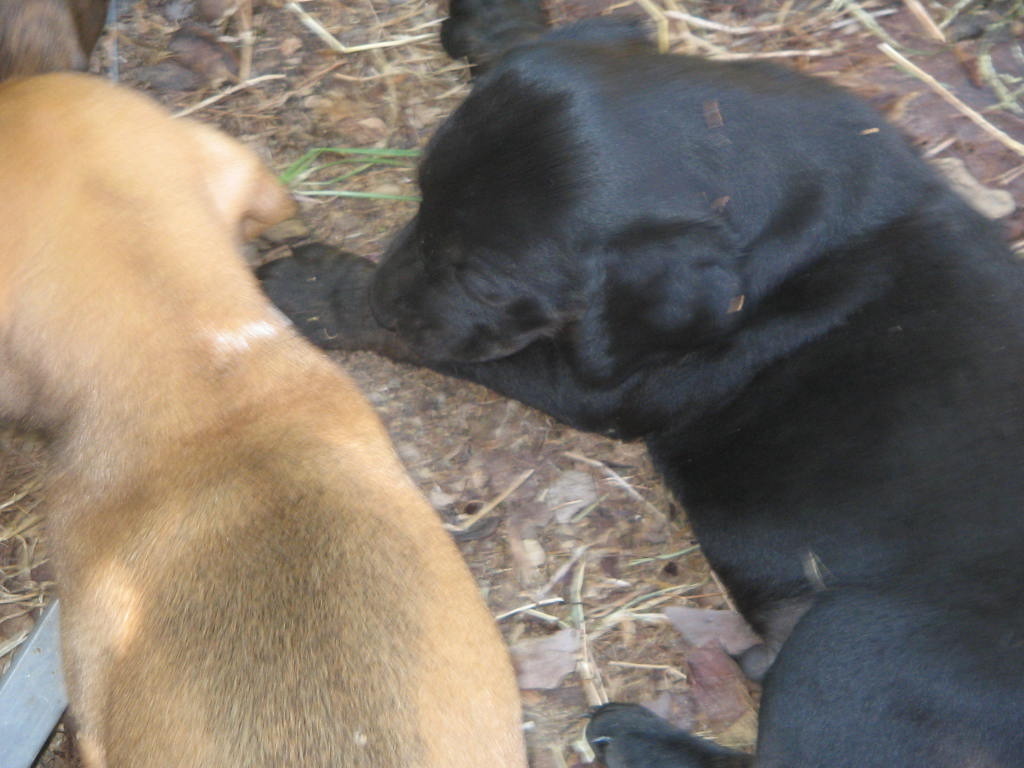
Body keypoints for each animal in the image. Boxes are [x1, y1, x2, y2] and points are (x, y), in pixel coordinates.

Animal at [257, 5, 1024, 767]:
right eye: (420, 196)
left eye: (486, 281)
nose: (387, 297)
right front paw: (497, 22)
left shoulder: (597, 387)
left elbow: (433, 342)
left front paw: (323, 288)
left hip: (856, 636)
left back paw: (633, 734)